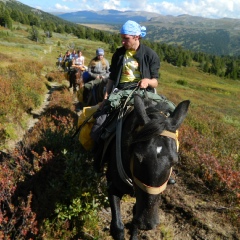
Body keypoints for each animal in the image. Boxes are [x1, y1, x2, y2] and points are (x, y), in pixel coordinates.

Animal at [104, 94, 190, 239]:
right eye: (137, 157)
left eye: (174, 162)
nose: (147, 223)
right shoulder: (113, 186)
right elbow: (117, 227)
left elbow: (134, 220)